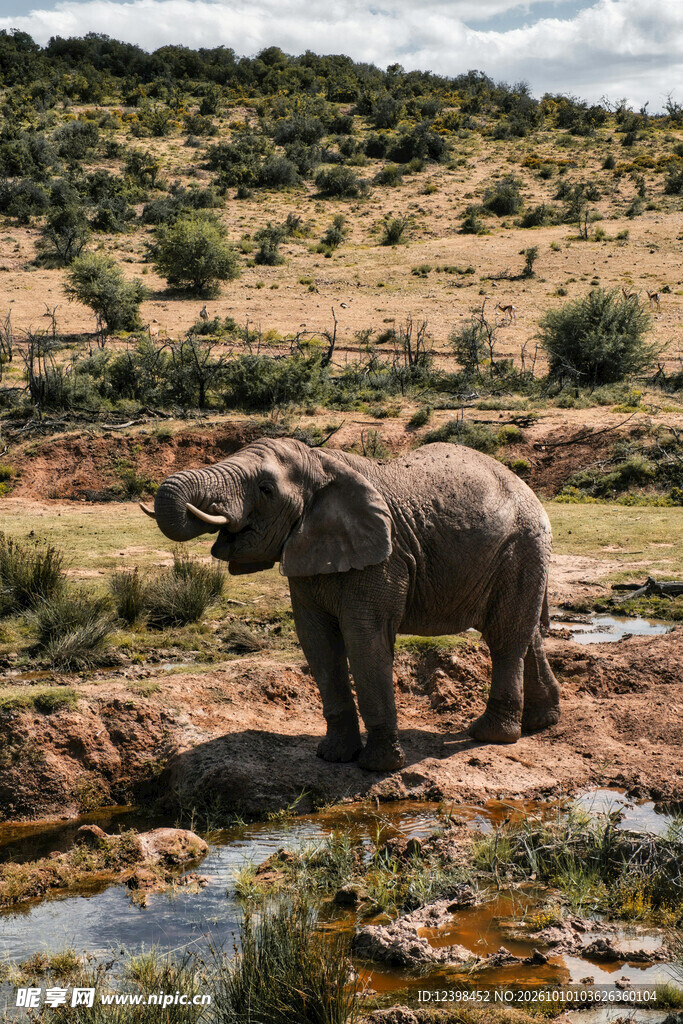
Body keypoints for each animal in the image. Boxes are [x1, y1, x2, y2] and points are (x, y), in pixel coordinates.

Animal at [141, 438, 560, 772]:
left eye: (265, 489)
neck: (320, 463)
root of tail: (528, 489)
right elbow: (317, 644)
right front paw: (333, 757)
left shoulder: (384, 559)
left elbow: (363, 641)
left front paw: (379, 767)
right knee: (527, 636)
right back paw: (541, 723)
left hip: (520, 547)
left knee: (505, 638)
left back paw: (491, 735)